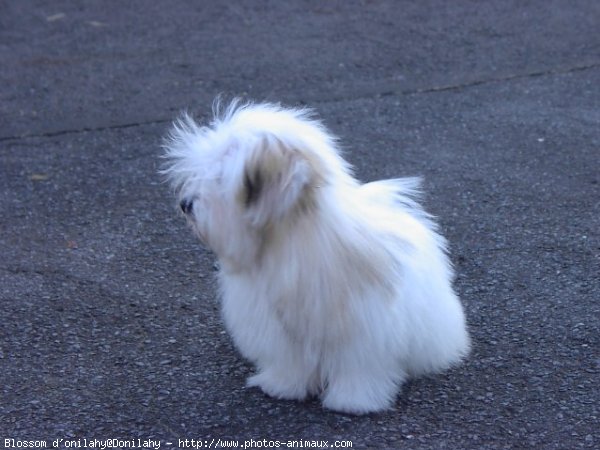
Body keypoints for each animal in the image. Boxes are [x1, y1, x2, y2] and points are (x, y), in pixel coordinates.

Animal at [162, 100, 472, 414]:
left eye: (220, 178)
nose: (186, 205)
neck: (289, 242)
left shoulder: (363, 328)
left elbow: (358, 369)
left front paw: (353, 401)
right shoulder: (279, 329)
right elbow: (290, 363)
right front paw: (282, 387)